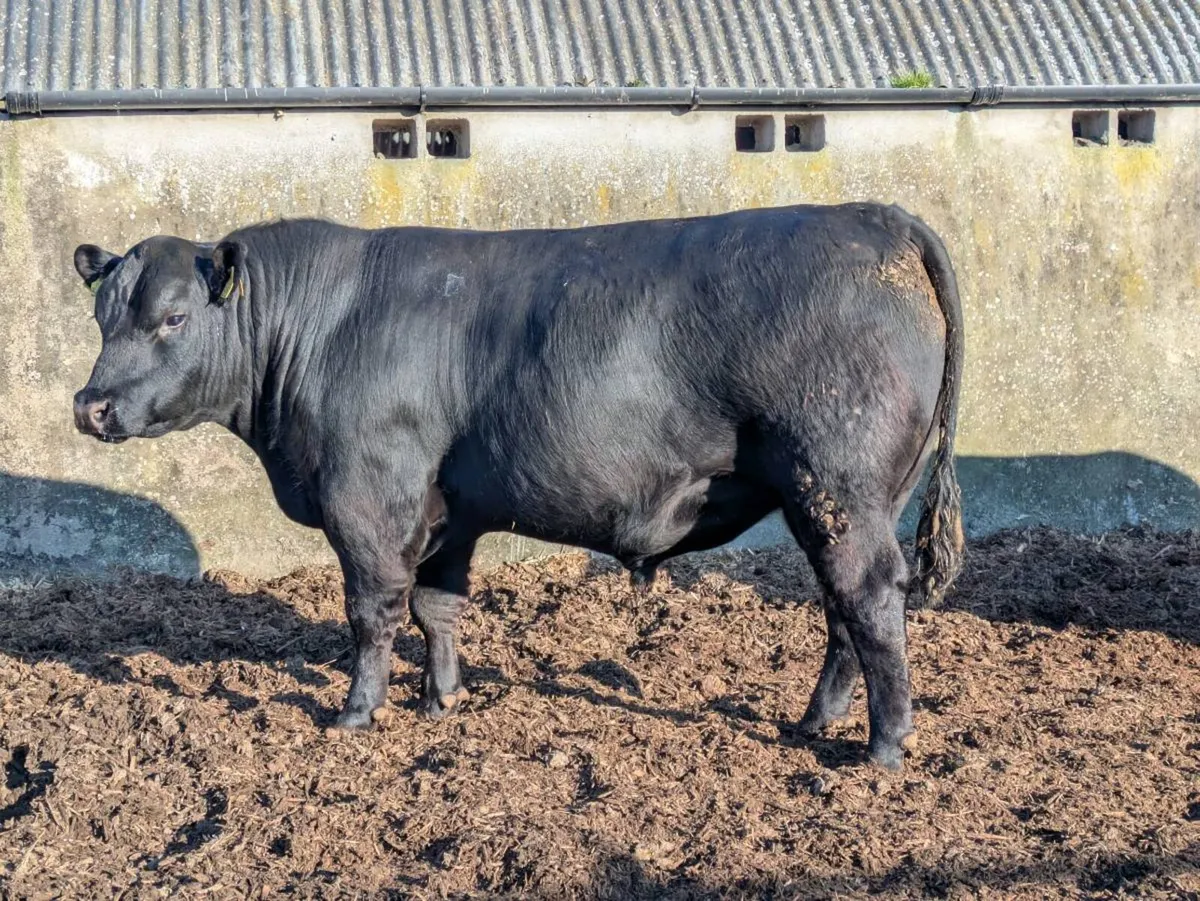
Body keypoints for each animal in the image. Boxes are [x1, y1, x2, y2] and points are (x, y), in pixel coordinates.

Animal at [71, 203, 964, 770]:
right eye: (103, 316)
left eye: (175, 317)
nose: (91, 404)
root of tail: (873, 214)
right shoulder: (448, 513)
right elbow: (437, 607)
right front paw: (441, 700)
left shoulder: (367, 499)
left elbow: (373, 611)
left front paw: (358, 712)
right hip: (839, 498)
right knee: (843, 605)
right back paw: (814, 721)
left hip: (837, 484)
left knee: (869, 597)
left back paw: (883, 747)